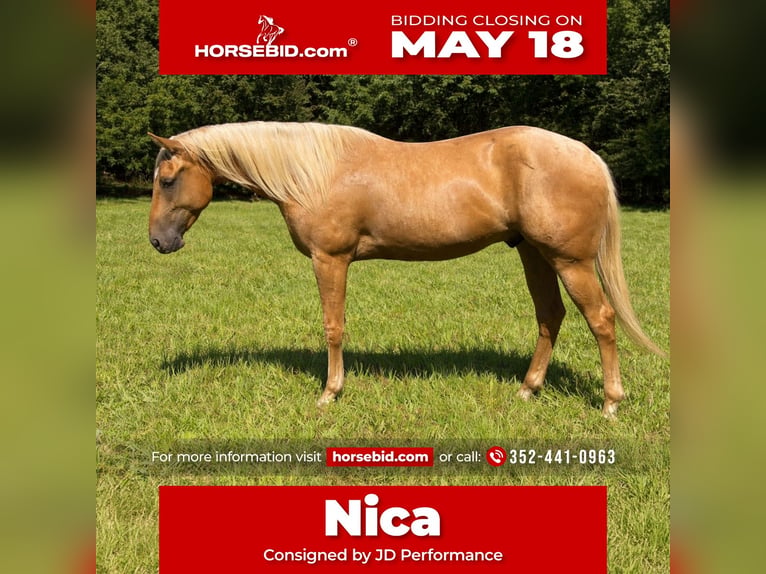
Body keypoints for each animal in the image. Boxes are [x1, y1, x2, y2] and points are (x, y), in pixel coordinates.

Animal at [148, 121, 664, 417]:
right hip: (533, 254)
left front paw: (330, 393)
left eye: (168, 180)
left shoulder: (330, 259)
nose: (157, 241)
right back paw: (527, 390)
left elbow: (333, 327)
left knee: (601, 320)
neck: (316, 172)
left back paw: (610, 403)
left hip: (569, 261)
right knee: (549, 317)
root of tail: (587, 156)